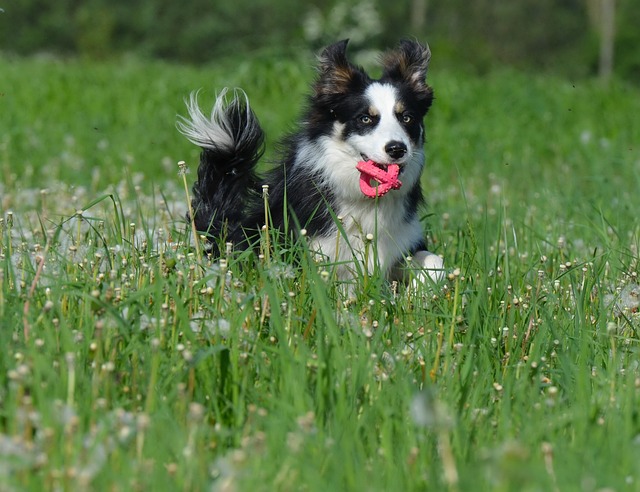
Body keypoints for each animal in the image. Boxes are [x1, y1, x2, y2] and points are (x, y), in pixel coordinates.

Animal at [178, 40, 442, 286]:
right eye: (365, 119)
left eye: (407, 118)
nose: (397, 149)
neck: (365, 202)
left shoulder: (405, 241)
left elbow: (435, 261)